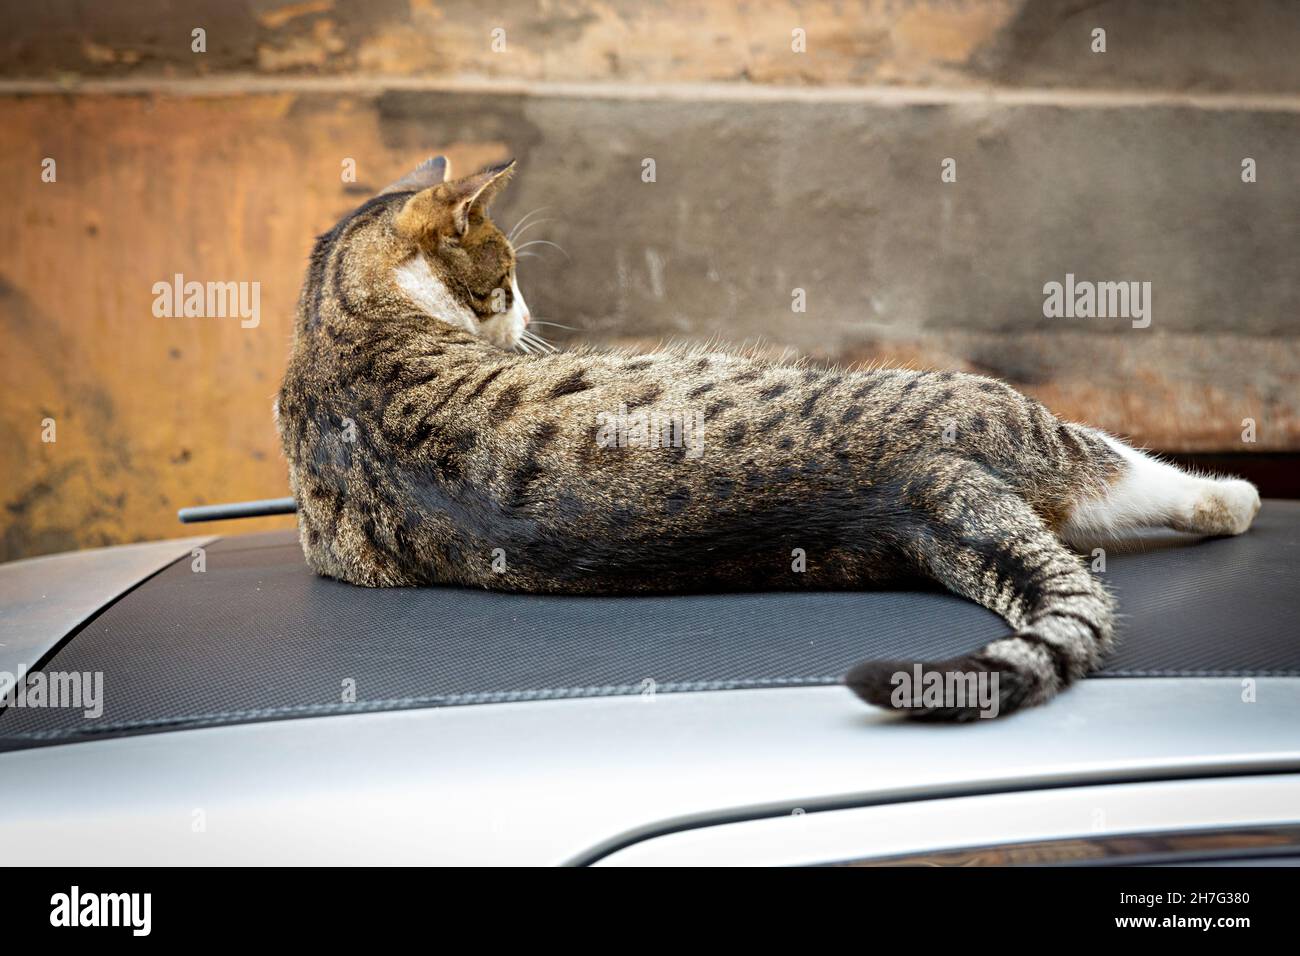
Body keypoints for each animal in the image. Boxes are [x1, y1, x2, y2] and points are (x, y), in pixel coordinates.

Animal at [274, 157, 1258, 723]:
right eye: (506, 279)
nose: (525, 317)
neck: (336, 313)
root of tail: (912, 487)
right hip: (1006, 412)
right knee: (1116, 472)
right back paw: (1232, 497)